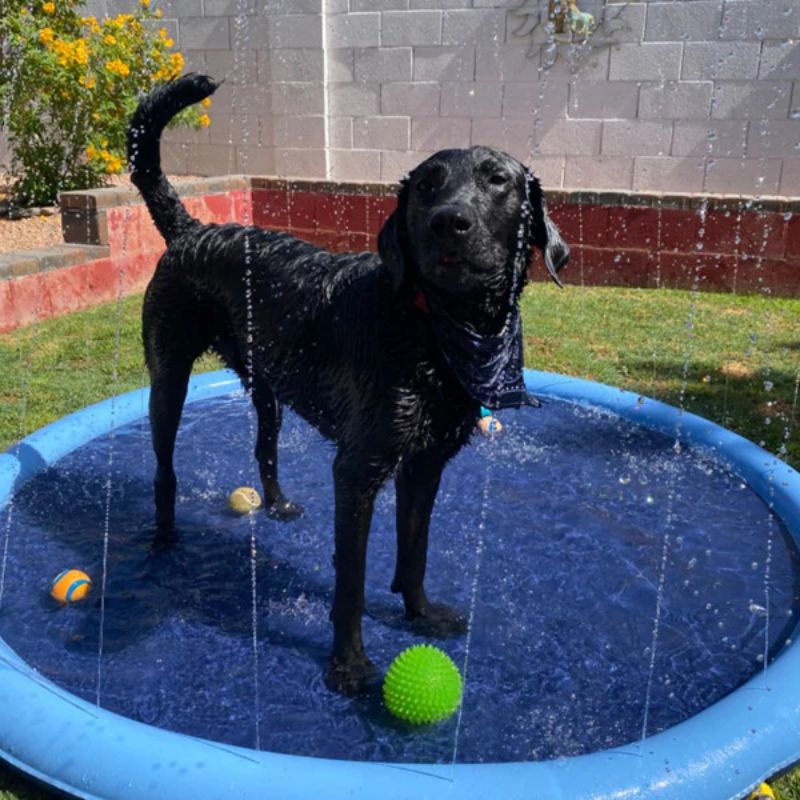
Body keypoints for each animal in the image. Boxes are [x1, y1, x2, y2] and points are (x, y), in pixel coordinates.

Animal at [128, 76, 568, 692]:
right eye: (427, 186)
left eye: (496, 180)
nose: (448, 221)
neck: (431, 326)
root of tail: (195, 229)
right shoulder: (358, 470)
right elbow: (351, 582)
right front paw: (349, 666)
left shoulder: (426, 463)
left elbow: (415, 548)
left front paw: (420, 613)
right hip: (168, 377)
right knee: (164, 466)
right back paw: (164, 538)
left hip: (267, 384)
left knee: (264, 445)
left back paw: (278, 504)